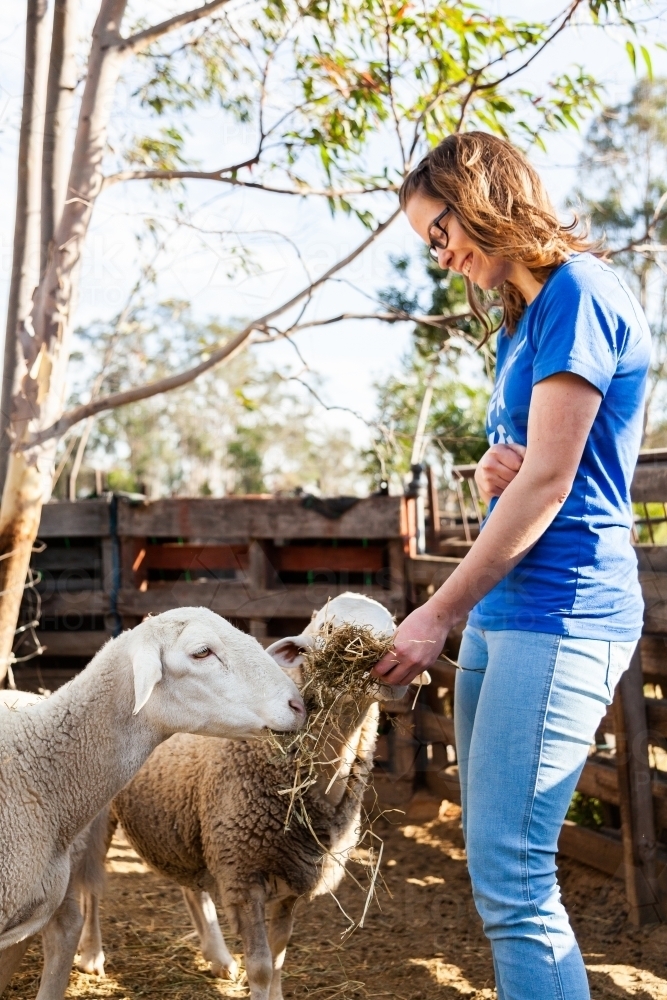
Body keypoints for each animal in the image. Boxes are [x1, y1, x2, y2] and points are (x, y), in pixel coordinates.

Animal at [76, 594, 428, 1000]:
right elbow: (260, 966)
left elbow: (278, 954)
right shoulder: (244, 876)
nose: (392, 666)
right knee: (92, 886)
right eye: (328, 628)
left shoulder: (292, 880)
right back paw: (91, 954)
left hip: (186, 822)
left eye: (396, 626)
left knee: (192, 891)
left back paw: (218, 957)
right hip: (104, 815)